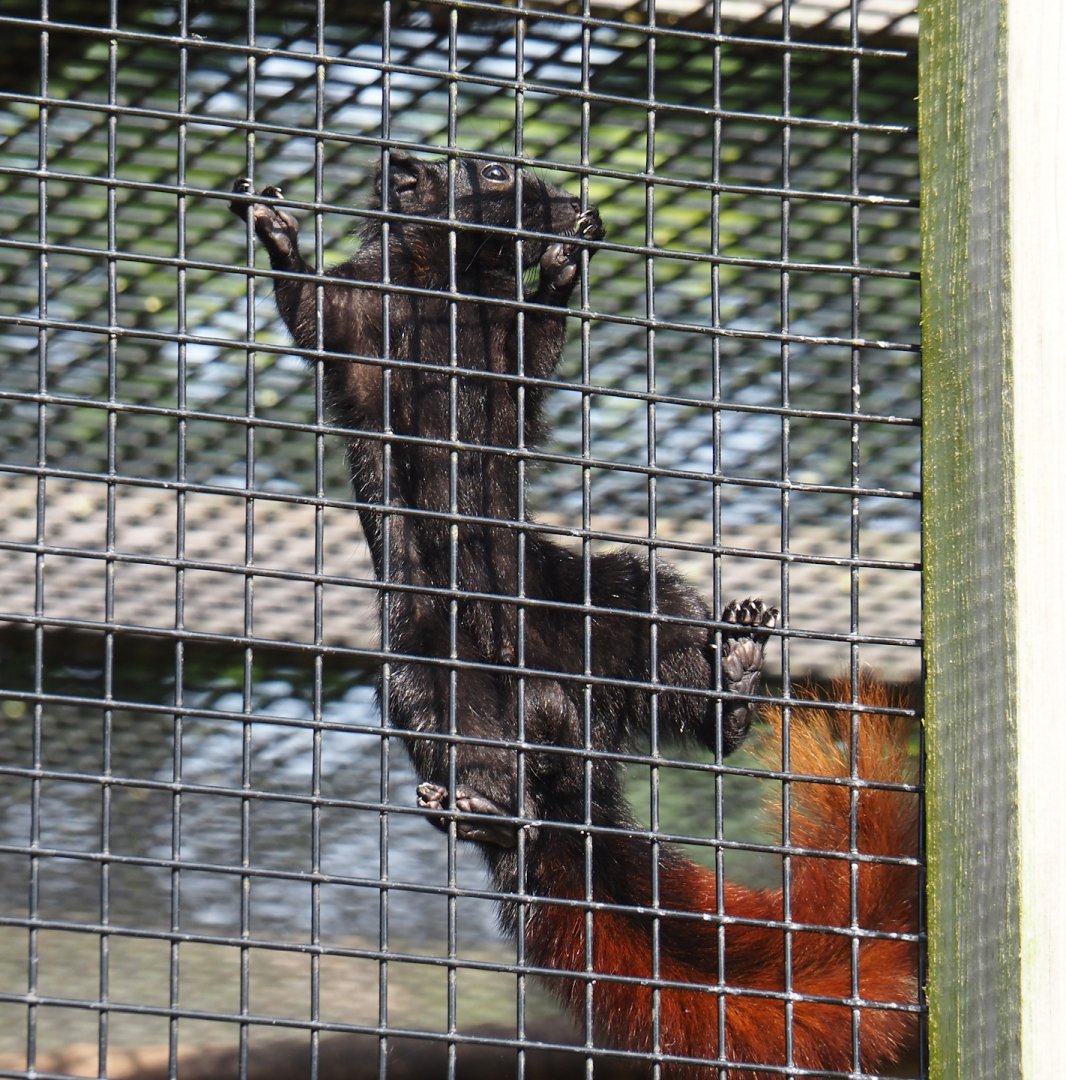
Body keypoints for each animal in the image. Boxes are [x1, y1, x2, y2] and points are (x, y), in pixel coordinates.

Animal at [230, 152, 919, 1077]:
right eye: (493, 171)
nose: (566, 200)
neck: (445, 295)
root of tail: (565, 736)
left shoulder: (504, 352)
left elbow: (530, 355)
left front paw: (564, 263)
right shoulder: (359, 324)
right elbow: (313, 313)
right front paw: (275, 227)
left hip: (610, 598)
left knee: (669, 659)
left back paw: (734, 675)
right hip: (421, 666)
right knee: (470, 767)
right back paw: (479, 809)